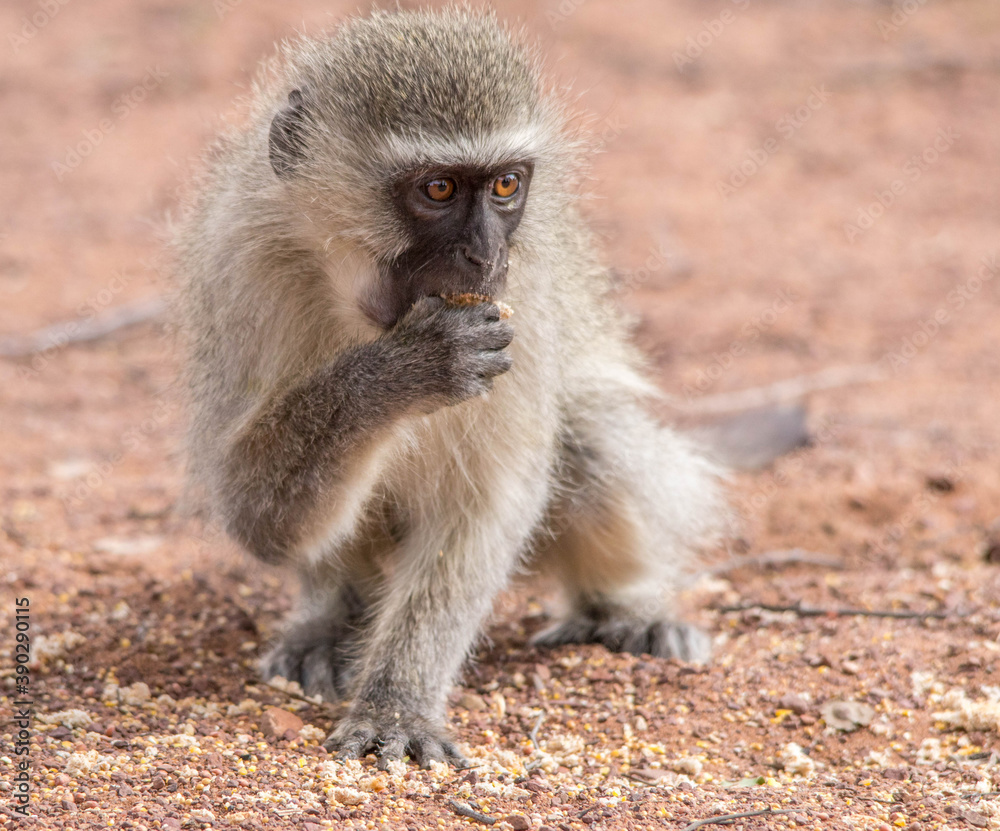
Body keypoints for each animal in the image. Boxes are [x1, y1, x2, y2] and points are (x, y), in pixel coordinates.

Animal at [178, 9, 728, 772]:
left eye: (505, 186)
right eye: (437, 189)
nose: (486, 255)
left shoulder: (519, 300)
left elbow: (486, 500)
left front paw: (397, 702)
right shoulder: (242, 266)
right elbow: (251, 514)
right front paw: (403, 371)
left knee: (586, 436)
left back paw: (626, 610)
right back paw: (332, 618)